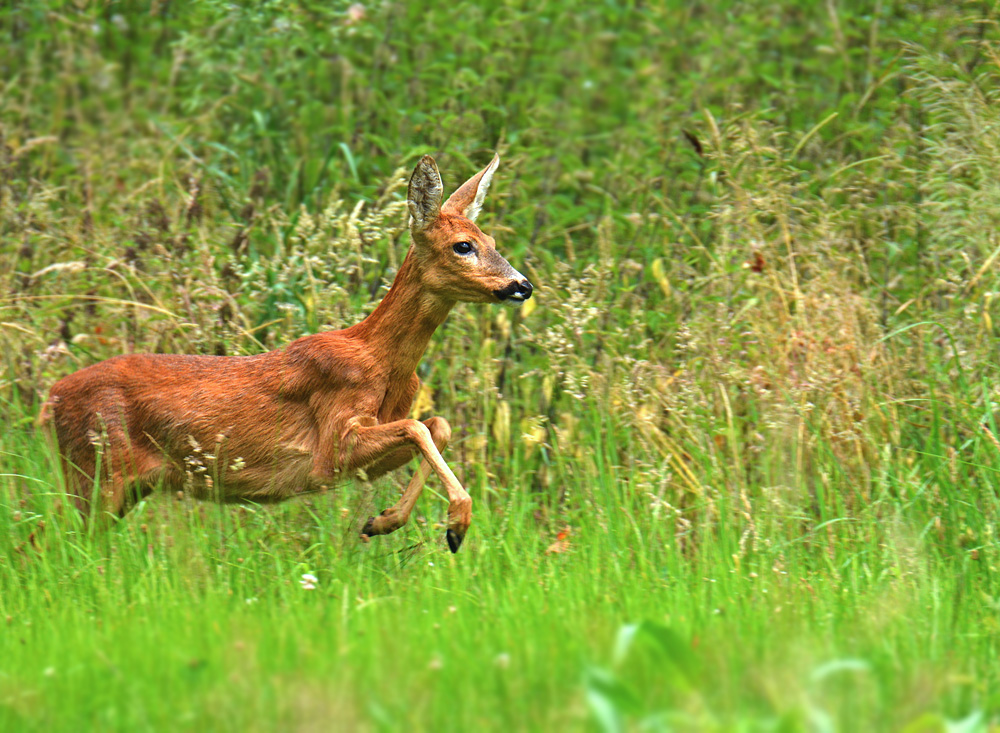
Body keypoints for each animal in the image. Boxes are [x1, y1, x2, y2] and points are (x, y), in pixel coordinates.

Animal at [38, 153, 532, 553]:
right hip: (96, 472)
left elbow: (437, 424)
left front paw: (383, 521)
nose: (522, 285)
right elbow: (418, 426)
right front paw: (458, 523)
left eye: (493, 242)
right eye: (463, 246)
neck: (382, 361)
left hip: (116, 486)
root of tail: (49, 400)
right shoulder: (330, 447)